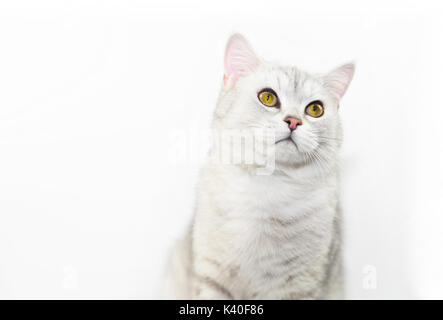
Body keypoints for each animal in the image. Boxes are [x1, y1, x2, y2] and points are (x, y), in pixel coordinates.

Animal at [162, 33, 354, 300]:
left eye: (315, 109)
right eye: (268, 97)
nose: (293, 121)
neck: (269, 184)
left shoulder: (300, 285)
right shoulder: (211, 275)